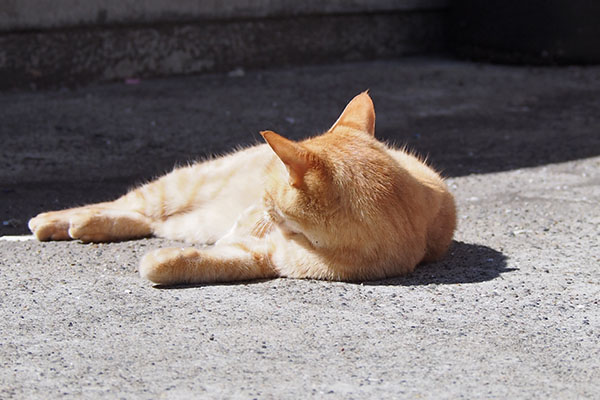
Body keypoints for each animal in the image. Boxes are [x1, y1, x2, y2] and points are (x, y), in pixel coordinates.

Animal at [29, 92, 454, 284]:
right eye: (261, 197)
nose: (251, 214)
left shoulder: (259, 257)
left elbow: (204, 262)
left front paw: (163, 263)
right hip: (176, 186)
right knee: (128, 204)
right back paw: (54, 220)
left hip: (178, 218)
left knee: (143, 220)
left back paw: (85, 227)